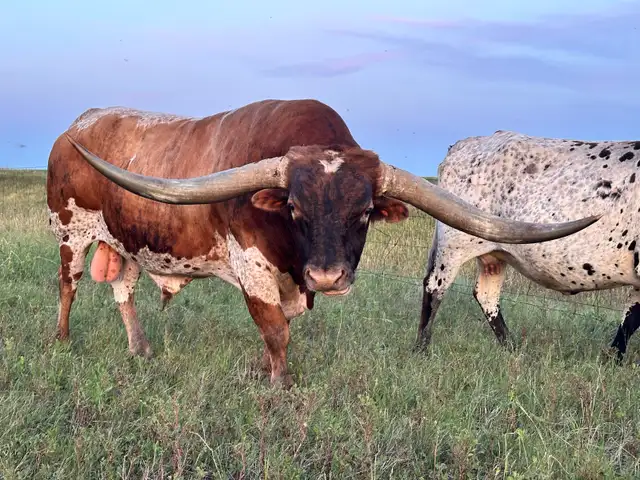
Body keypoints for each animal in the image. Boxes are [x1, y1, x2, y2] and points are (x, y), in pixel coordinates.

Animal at [46, 100, 599, 387]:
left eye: (364, 213)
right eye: (294, 208)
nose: (328, 276)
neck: (296, 259)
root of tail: (78, 125)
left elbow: (282, 326)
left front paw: (262, 368)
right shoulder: (252, 268)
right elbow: (275, 330)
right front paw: (279, 383)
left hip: (125, 243)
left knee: (123, 289)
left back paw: (139, 348)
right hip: (71, 233)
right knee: (68, 286)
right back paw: (63, 342)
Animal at [417, 129, 640, 363]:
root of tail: (463, 144)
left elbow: (630, 319)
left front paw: (614, 359)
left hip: (493, 253)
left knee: (486, 296)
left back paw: (513, 348)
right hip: (453, 245)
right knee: (434, 287)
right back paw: (421, 348)